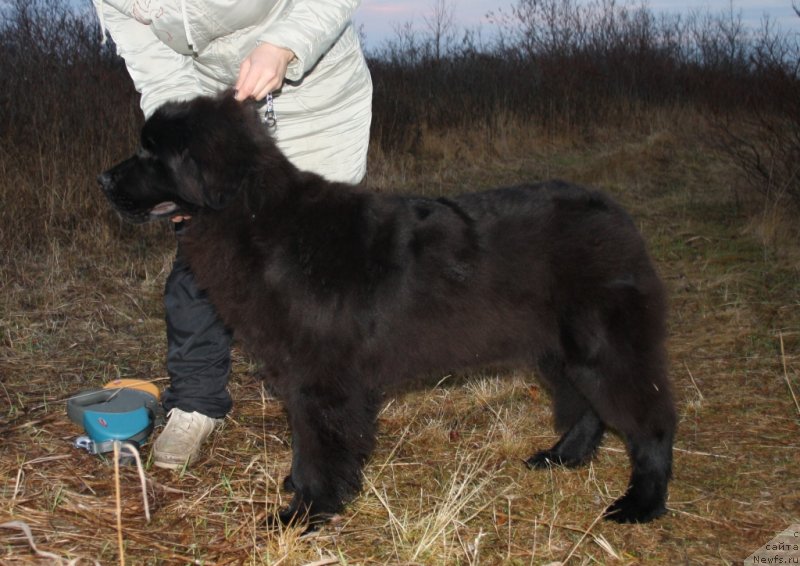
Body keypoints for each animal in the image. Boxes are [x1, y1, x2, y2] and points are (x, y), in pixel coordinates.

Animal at [98, 94, 676, 528]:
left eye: (152, 154)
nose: (103, 180)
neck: (259, 221)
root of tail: (614, 214)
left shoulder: (321, 377)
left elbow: (320, 444)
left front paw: (305, 511)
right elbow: (310, 441)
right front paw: (302, 489)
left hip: (605, 347)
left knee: (651, 421)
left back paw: (641, 504)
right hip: (559, 350)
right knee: (588, 407)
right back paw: (563, 457)